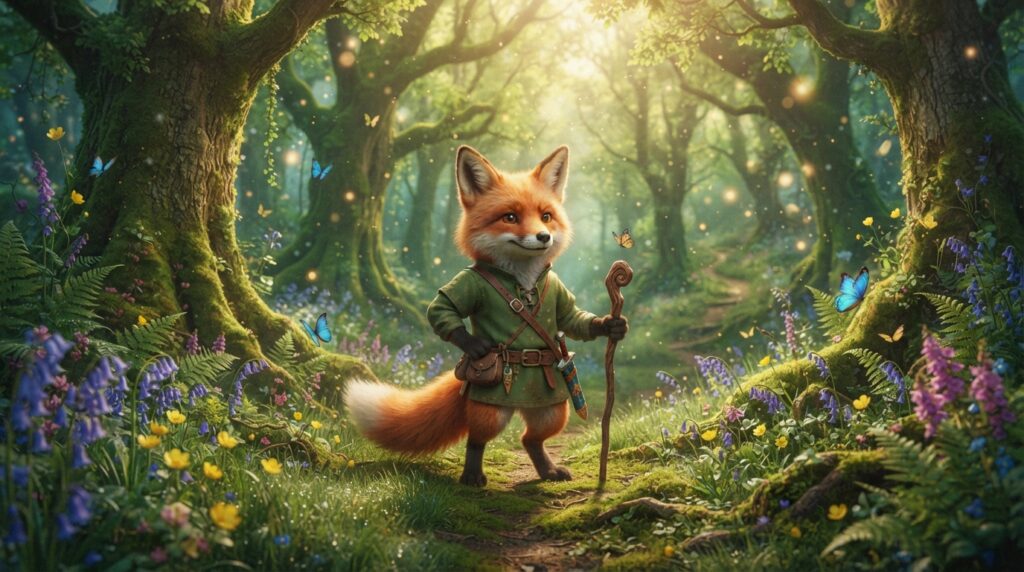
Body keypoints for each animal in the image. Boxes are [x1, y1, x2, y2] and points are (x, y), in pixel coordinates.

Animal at [344, 145, 627, 486]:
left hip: (554, 412)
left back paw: (547, 470)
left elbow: (572, 318)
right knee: (477, 437)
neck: (523, 281)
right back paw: (472, 476)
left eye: (546, 216)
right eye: (510, 217)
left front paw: (611, 325)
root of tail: (520, 406)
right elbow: (441, 308)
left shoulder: (558, 292)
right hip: (492, 412)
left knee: (530, 439)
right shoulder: (469, 283)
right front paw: (476, 345)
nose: (543, 236)